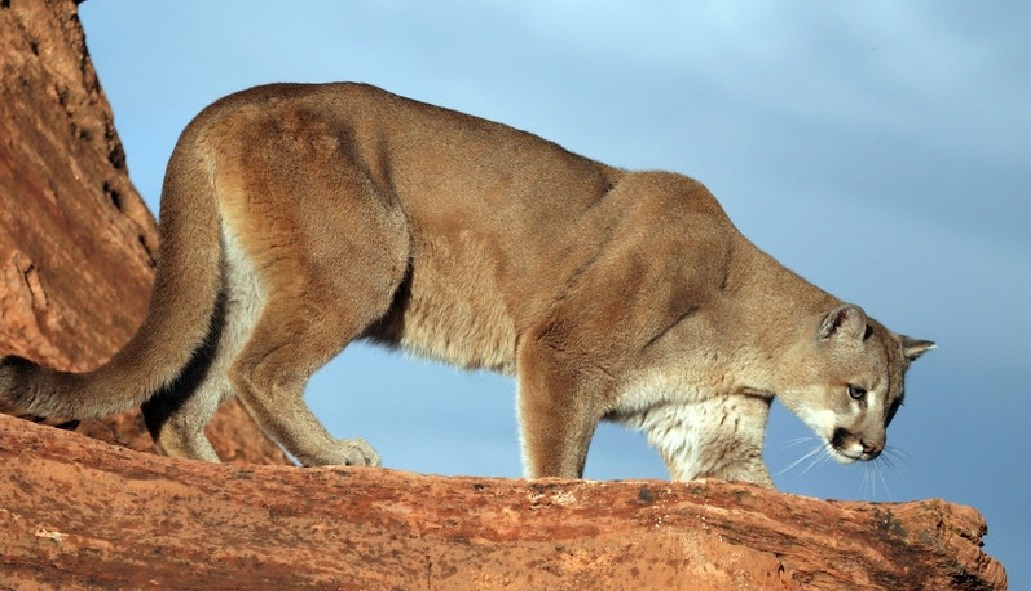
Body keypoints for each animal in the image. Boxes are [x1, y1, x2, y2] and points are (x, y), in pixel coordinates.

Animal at [0, 84, 936, 488]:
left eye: (896, 405)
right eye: (858, 391)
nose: (870, 447)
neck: (744, 327)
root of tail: (228, 103)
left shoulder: (708, 423)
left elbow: (740, 482)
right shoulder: (562, 349)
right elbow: (558, 459)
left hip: (238, 285)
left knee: (179, 395)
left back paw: (215, 471)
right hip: (370, 254)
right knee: (256, 370)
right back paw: (335, 457)